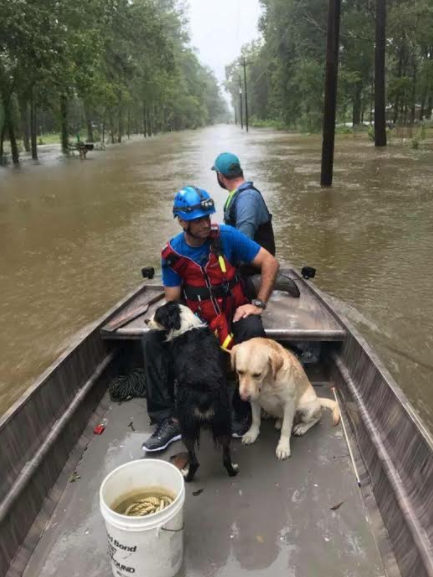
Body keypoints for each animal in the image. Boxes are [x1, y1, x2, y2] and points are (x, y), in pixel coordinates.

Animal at [147, 302, 238, 482]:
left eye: (157, 316)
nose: (146, 320)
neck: (185, 324)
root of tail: (203, 393)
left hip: (187, 424)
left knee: (195, 461)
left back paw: (186, 475)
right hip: (223, 420)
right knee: (225, 458)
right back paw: (233, 470)